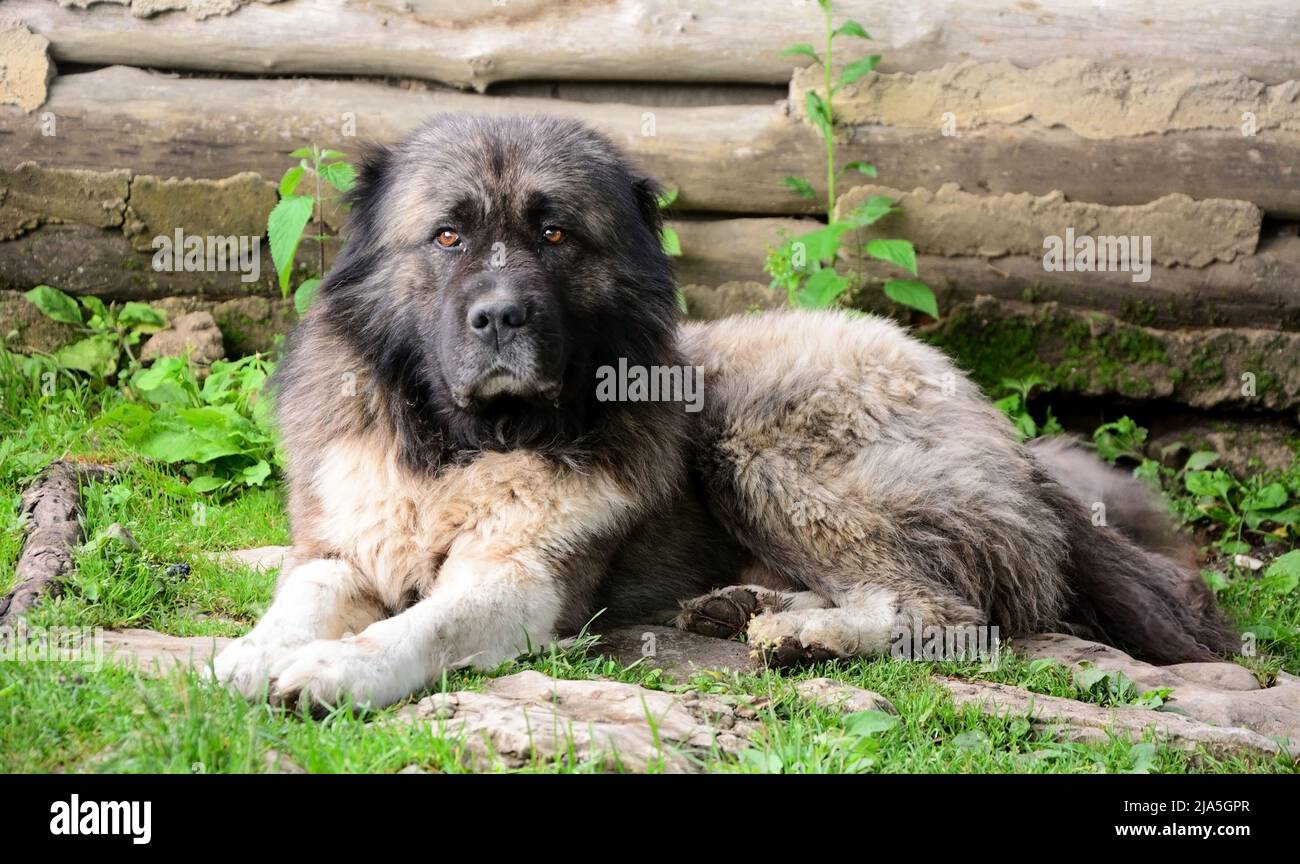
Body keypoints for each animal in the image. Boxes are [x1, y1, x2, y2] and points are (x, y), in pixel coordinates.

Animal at [210, 114, 1227, 706]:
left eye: (554, 233)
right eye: (449, 235)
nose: (500, 316)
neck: (465, 447)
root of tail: (1014, 446)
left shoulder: (526, 583)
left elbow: (425, 624)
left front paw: (338, 670)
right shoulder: (343, 546)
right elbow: (299, 597)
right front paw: (252, 654)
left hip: (760, 447)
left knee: (950, 613)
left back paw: (805, 631)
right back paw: (750, 604)